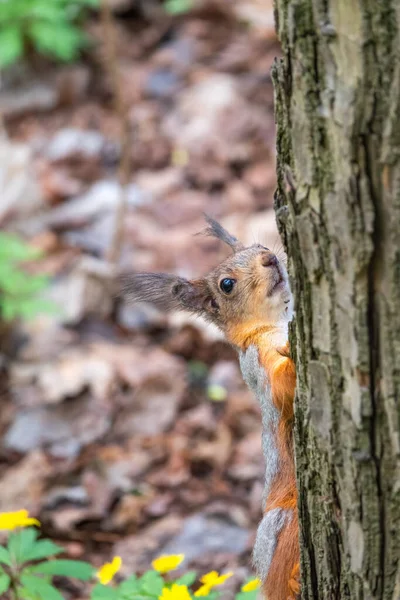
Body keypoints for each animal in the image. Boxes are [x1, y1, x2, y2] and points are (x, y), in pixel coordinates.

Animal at [119, 217, 300, 600]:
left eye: (258, 246)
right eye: (226, 285)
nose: (269, 258)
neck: (273, 325)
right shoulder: (256, 366)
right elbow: (278, 392)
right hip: (282, 522)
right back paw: (291, 579)